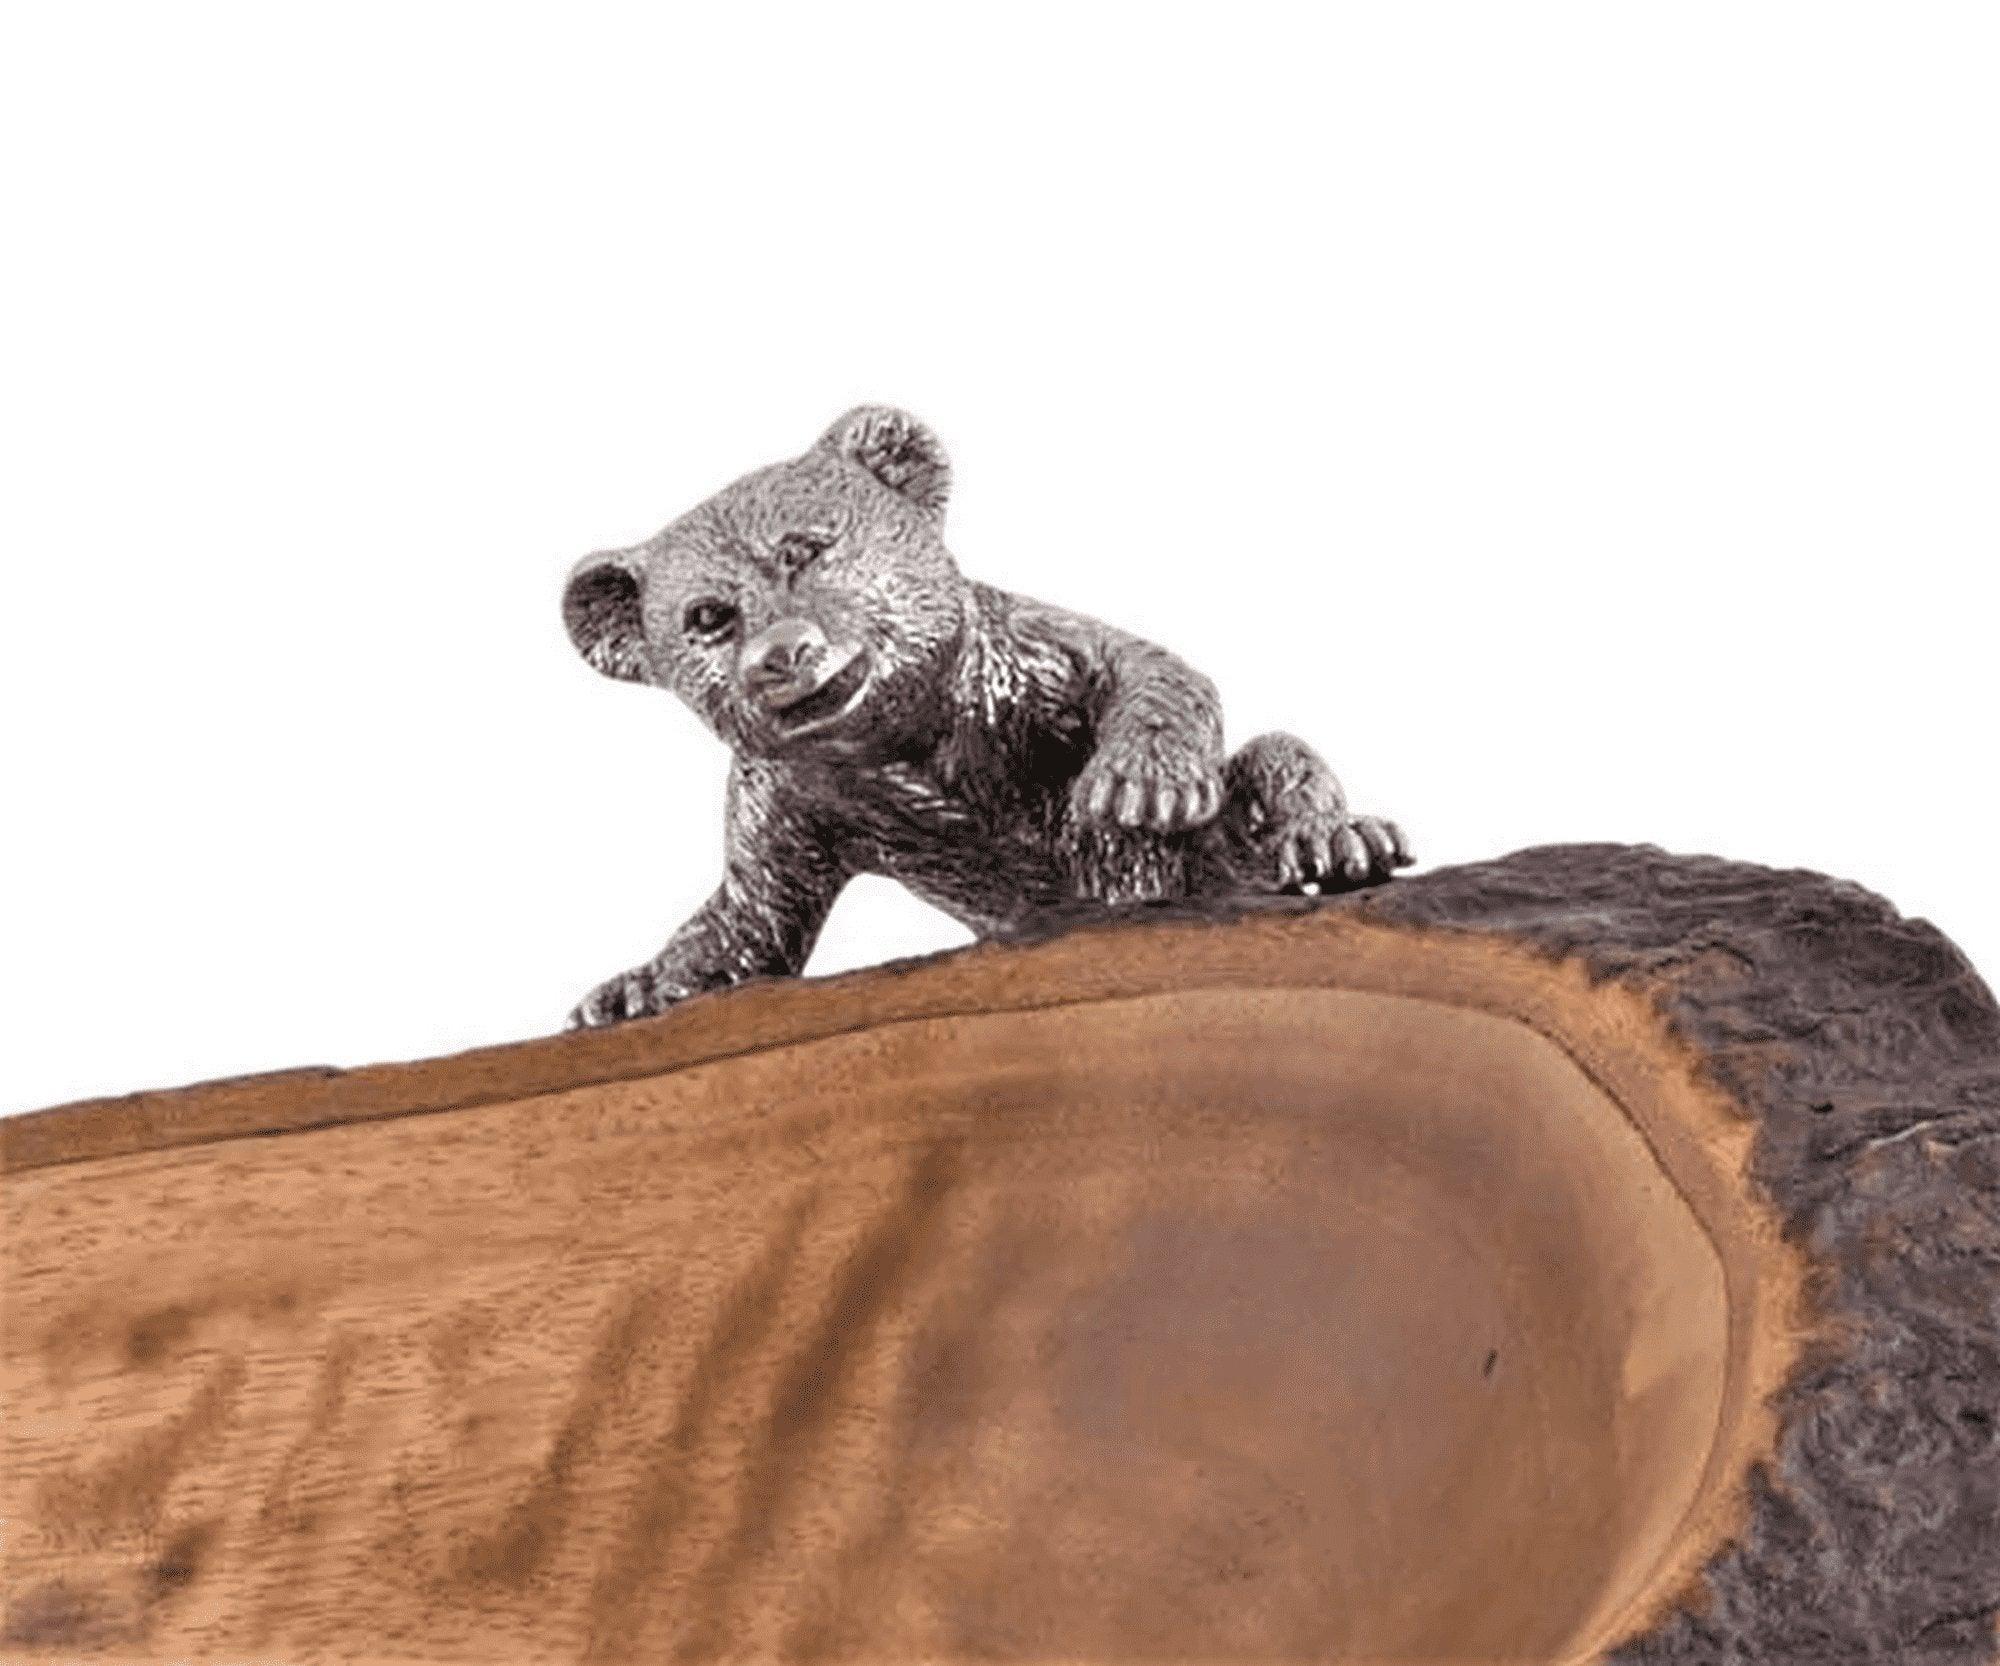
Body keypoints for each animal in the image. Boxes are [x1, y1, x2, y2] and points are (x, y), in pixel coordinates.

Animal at [562, 405, 1410, 1027]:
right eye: (707, 617)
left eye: (806, 549)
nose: (782, 652)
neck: (915, 749)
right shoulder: (780, 804)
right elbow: (750, 923)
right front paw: (636, 987)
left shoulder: (1042, 656)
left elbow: (1158, 675)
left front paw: (1144, 781)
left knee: (1278, 757)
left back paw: (1338, 841)